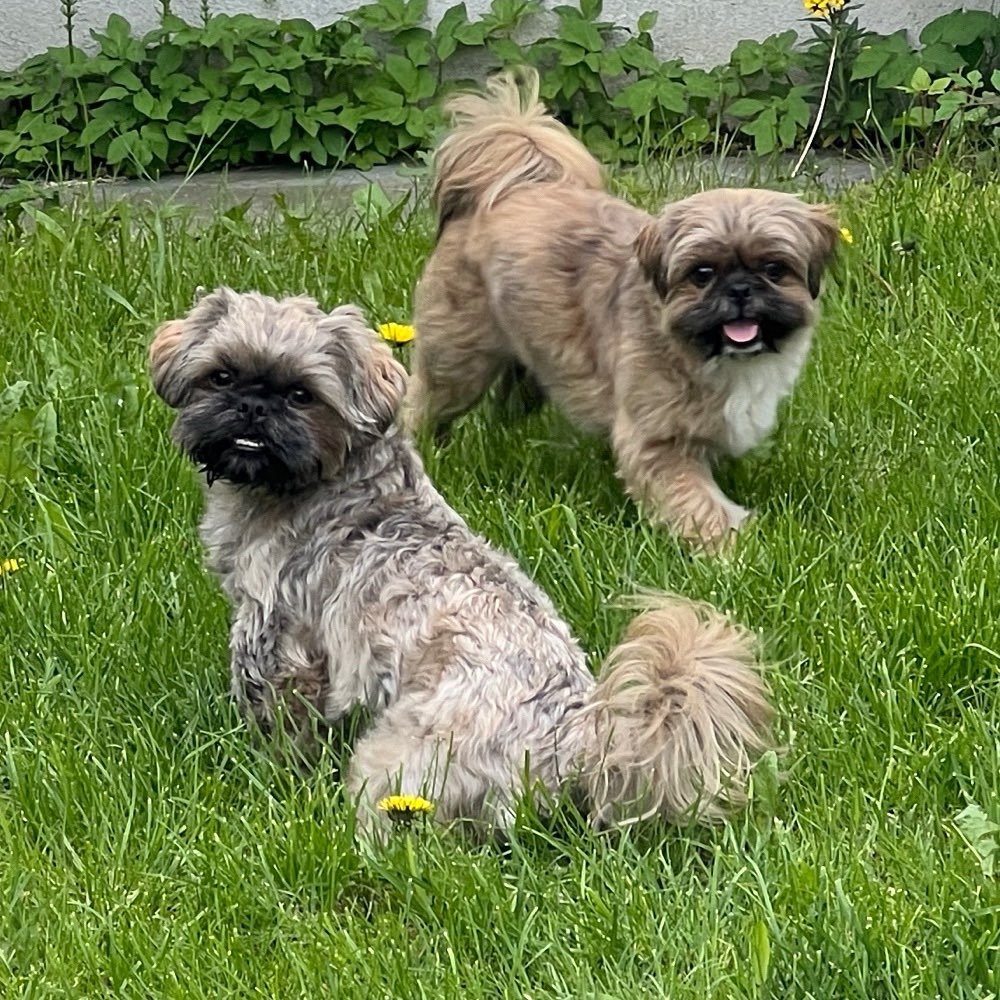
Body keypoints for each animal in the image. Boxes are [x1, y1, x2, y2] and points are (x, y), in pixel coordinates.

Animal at [150, 290, 772, 836]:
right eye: (221, 376)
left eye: (302, 395)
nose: (254, 405)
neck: (328, 479)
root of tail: (576, 741)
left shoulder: (276, 636)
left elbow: (279, 719)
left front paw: (271, 767)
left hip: (398, 758)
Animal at [406, 66, 844, 552]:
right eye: (702, 273)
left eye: (773, 269)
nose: (740, 289)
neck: (708, 356)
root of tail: (497, 193)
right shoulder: (657, 441)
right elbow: (697, 501)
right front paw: (729, 544)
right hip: (458, 362)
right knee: (424, 401)